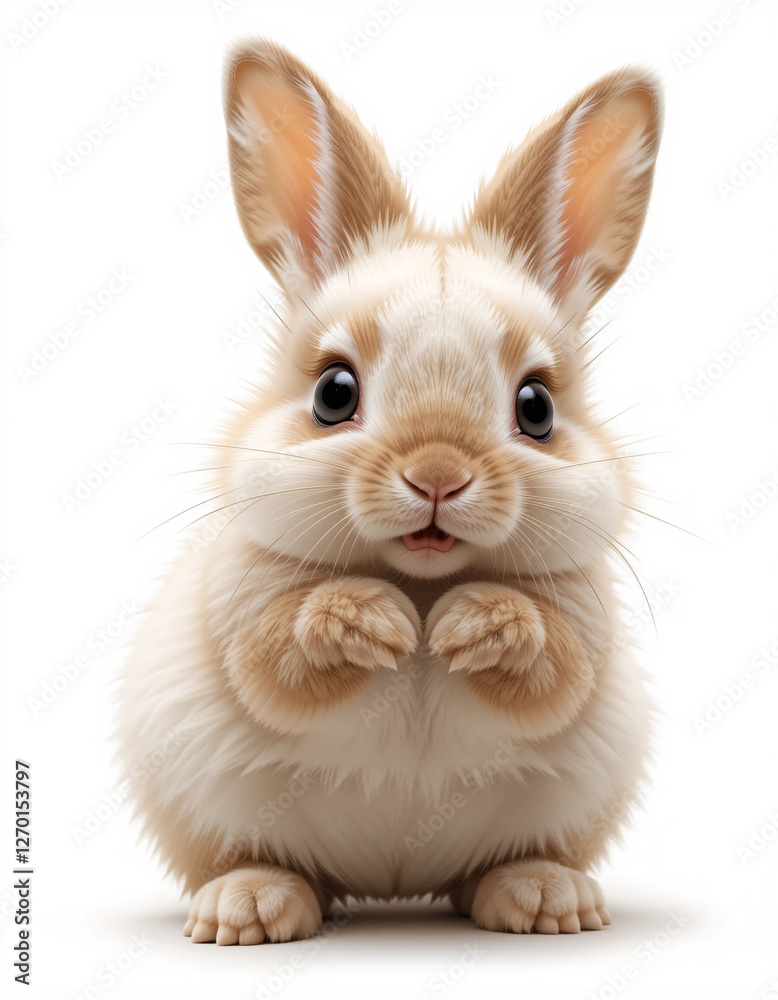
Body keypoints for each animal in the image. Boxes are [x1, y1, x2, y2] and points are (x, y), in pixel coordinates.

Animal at [116, 39, 663, 943]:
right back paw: (250, 908)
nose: (438, 474)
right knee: (258, 864)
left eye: (537, 408)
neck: (422, 573)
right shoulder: (240, 604)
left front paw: (472, 626)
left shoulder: (584, 624)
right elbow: (274, 656)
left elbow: (554, 667)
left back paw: (544, 899)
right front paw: (376, 624)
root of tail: (394, 886)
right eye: (333, 393)